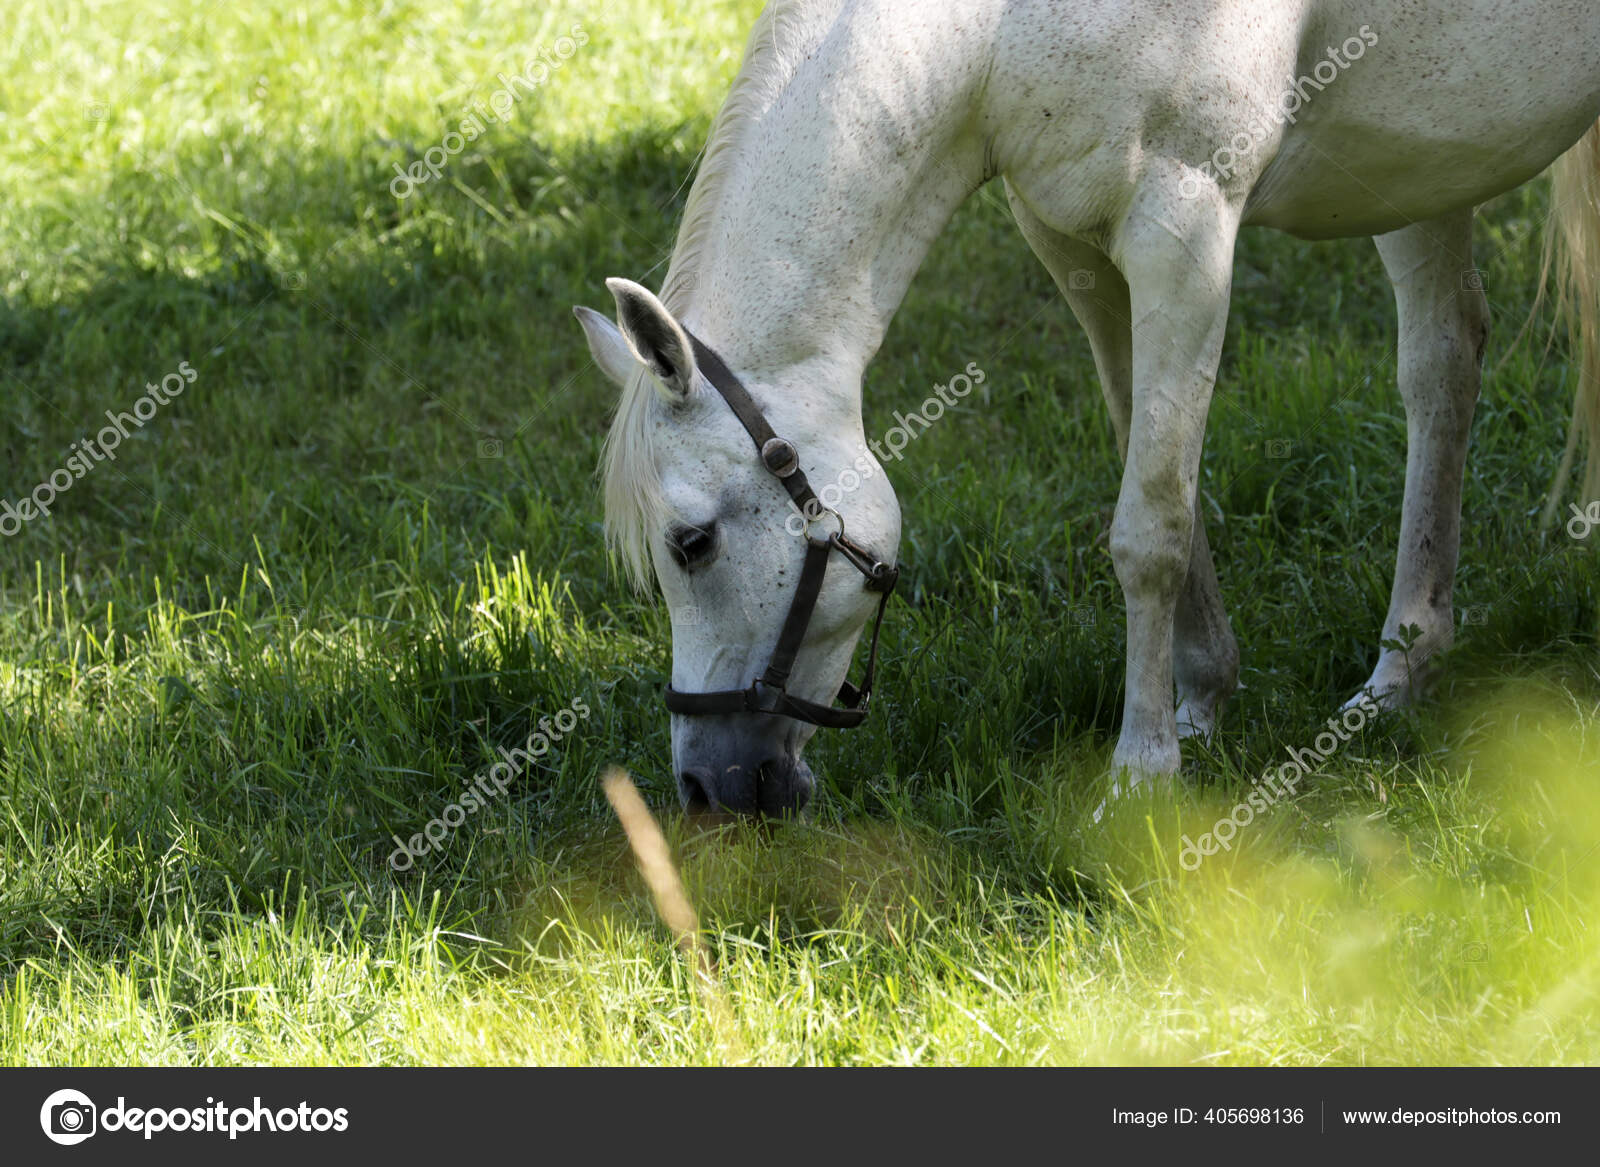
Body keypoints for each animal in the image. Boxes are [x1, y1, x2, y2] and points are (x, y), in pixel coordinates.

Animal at [576, 0, 1600, 816]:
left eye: (692, 543)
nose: (705, 787)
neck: (995, 26)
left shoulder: (1185, 230)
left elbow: (1150, 527)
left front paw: (1142, 772)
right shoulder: (1078, 246)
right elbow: (1155, 474)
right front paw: (1202, 702)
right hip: (1425, 163)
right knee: (1442, 364)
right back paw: (1404, 669)